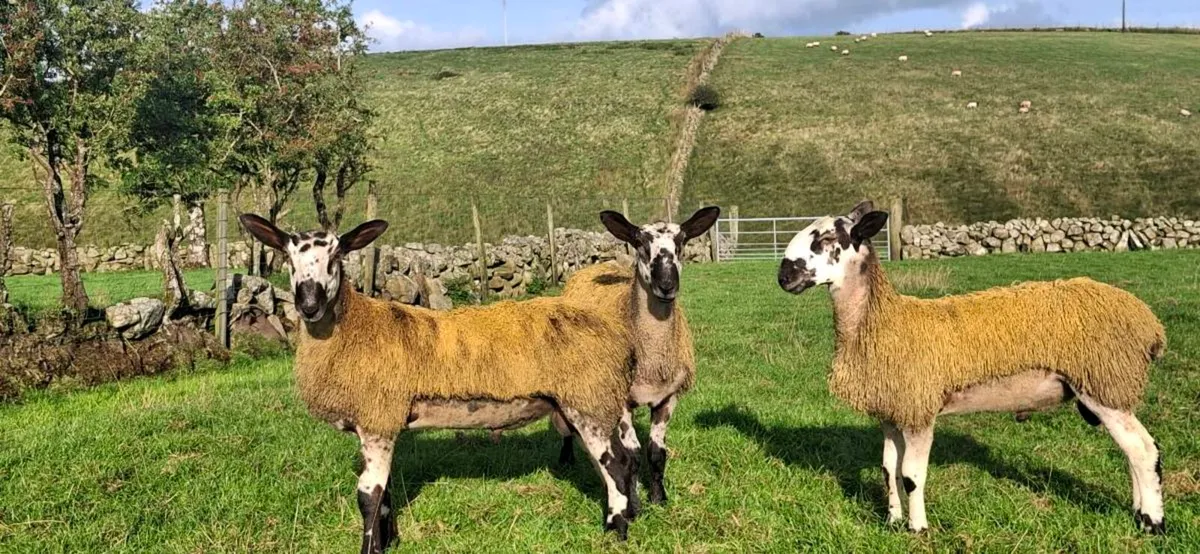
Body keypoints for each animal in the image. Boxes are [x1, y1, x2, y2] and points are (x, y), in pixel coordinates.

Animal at [238, 215, 642, 551]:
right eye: (289, 260)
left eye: (336, 257)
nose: (308, 306)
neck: (355, 328)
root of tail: (615, 333)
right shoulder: (381, 420)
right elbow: (384, 492)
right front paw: (390, 540)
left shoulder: (377, 418)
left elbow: (368, 496)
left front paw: (371, 548)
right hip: (587, 401)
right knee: (615, 463)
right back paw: (618, 519)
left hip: (588, 398)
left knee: (615, 463)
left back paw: (618, 533)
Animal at [553, 207, 721, 506]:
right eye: (640, 243)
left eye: (682, 242)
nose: (667, 285)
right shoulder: (622, 401)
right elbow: (631, 454)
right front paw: (632, 498)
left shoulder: (668, 397)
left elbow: (656, 452)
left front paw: (659, 497)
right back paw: (566, 457)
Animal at [776, 201, 1167, 535]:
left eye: (827, 239)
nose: (783, 276)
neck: (882, 321)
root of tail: (1148, 321)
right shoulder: (892, 412)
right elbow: (888, 470)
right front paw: (892, 521)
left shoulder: (919, 410)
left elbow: (911, 476)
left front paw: (918, 529)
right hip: (1105, 388)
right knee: (1132, 452)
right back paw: (1139, 513)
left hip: (1105, 384)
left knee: (1144, 451)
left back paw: (1153, 523)